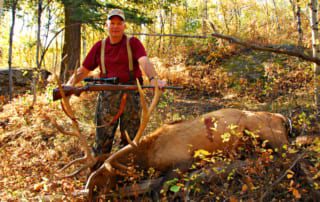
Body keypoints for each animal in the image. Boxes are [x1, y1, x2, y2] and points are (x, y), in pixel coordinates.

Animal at [52, 79, 290, 200]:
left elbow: (160, 188)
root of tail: (282, 118)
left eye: (103, 176)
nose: (85, 193)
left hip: (268, 135)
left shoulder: (183, 161)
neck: (150, 156)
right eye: (91, 174)